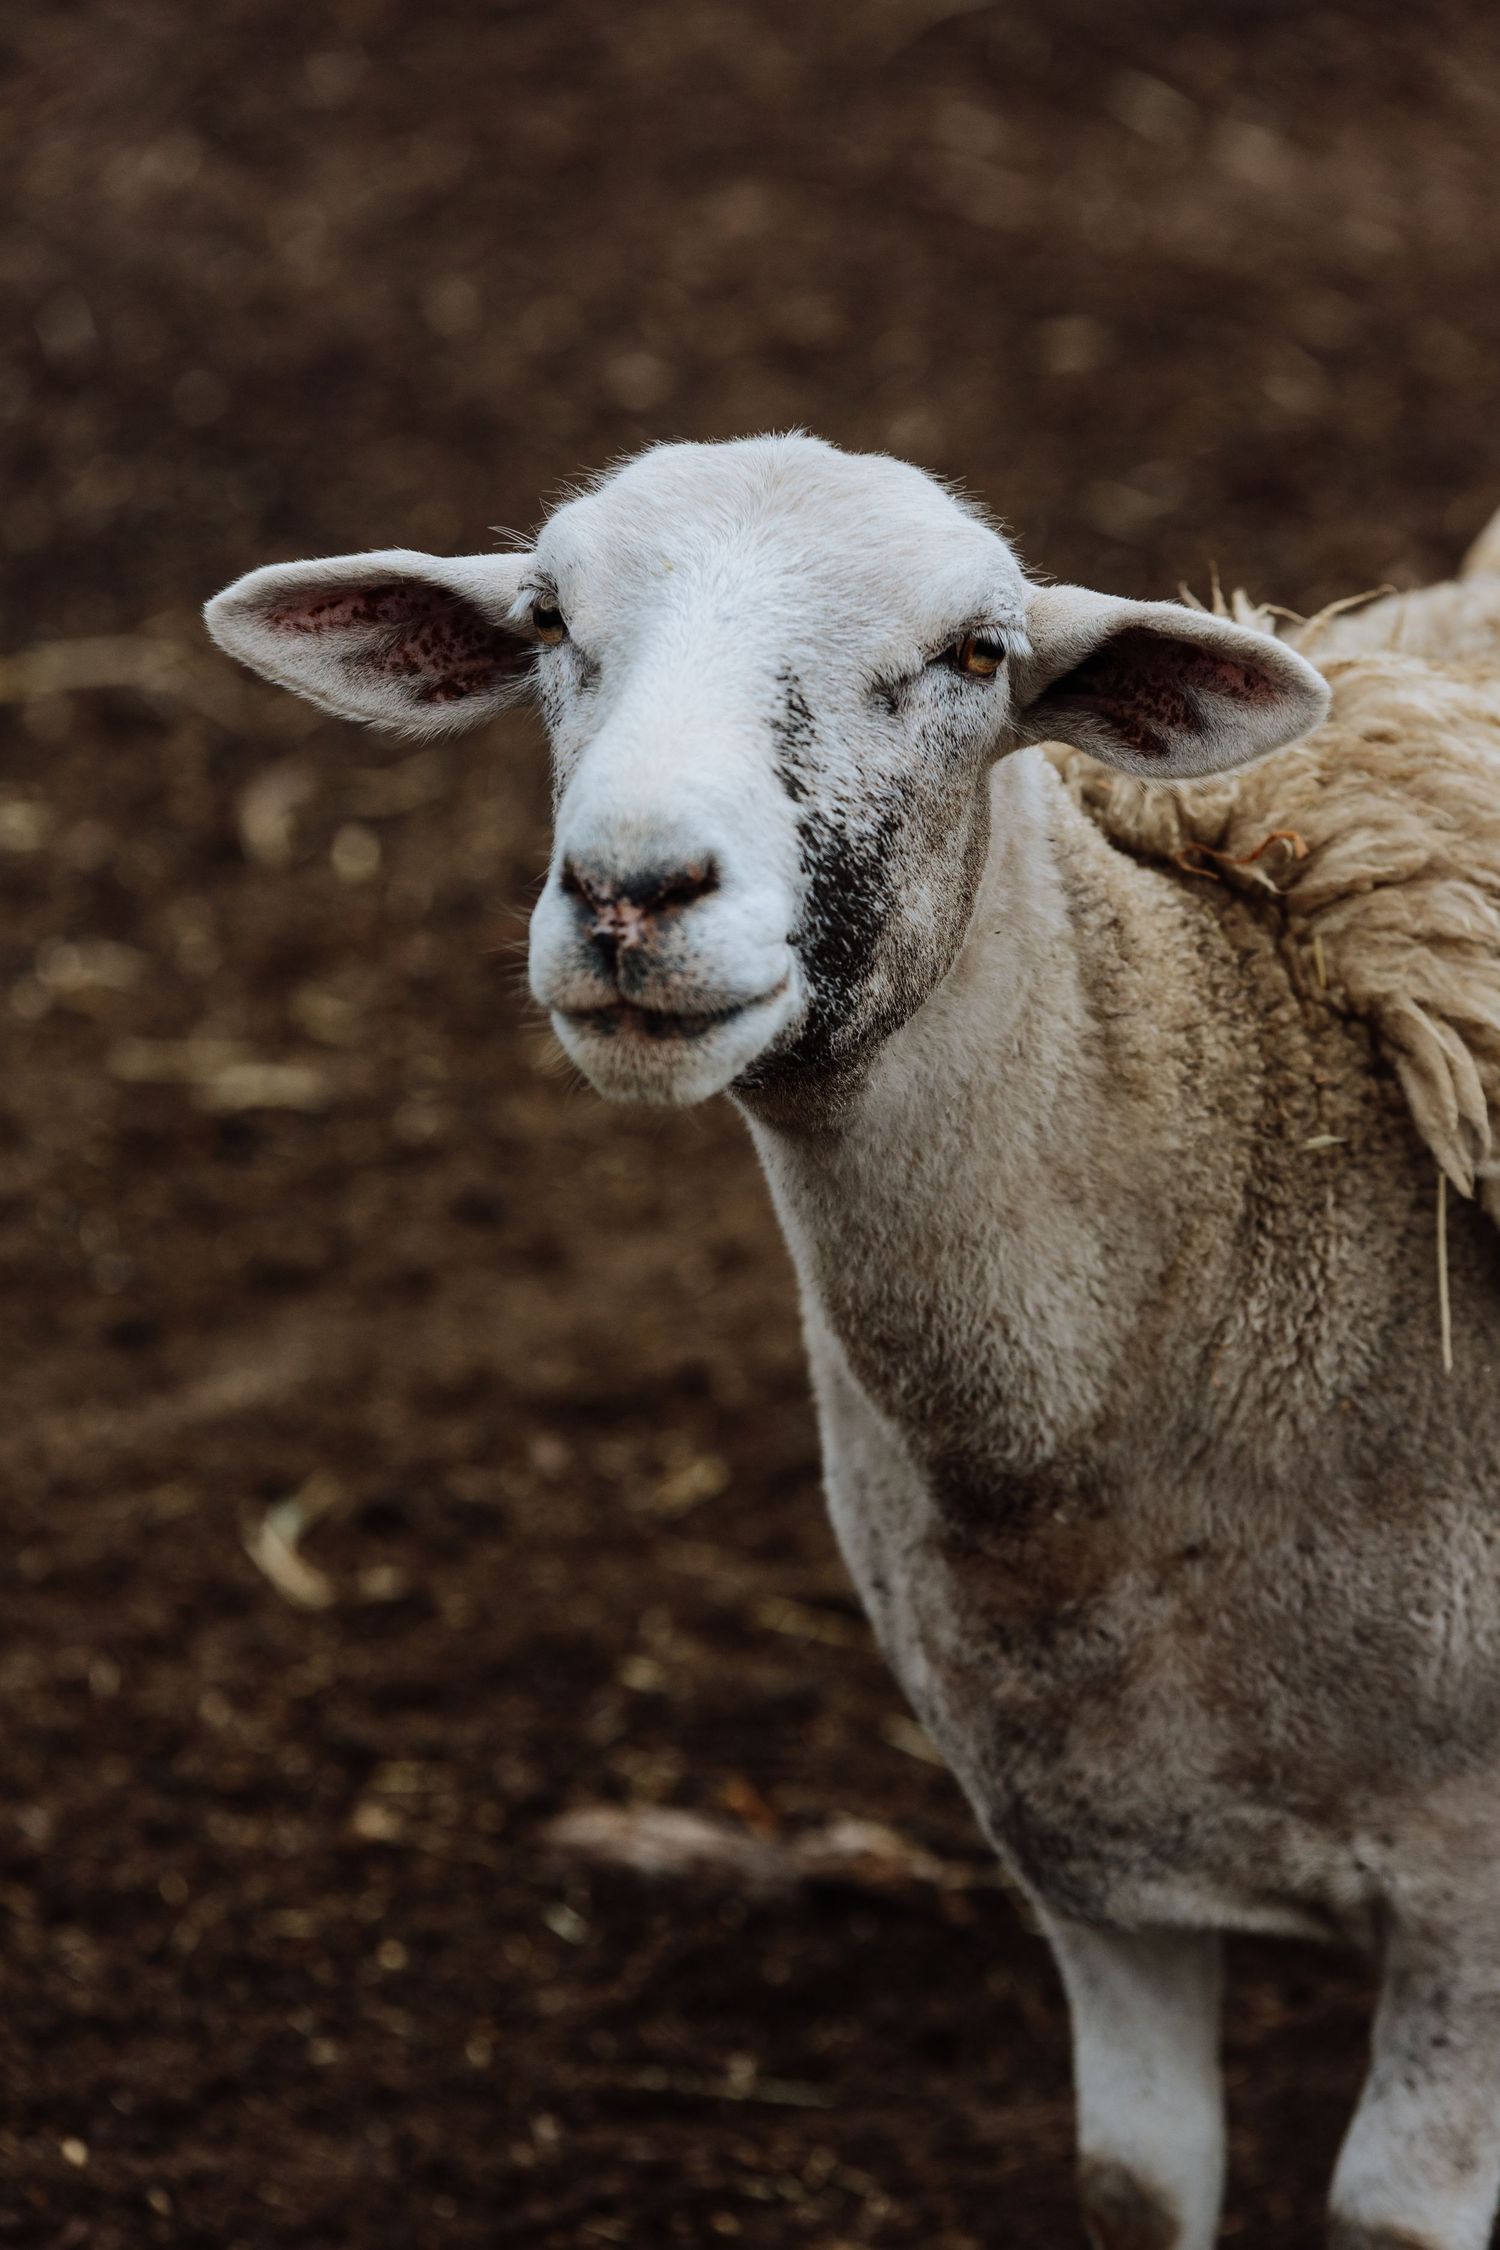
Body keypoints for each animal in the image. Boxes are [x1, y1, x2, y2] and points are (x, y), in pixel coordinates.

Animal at [206, 435, 1500, 2250]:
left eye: (977, 652)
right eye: (547, 620)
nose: (632, 890)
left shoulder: (1470, 1900)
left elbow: (1384, 2213)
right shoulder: (1093, 1866)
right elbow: (1134, 2185)